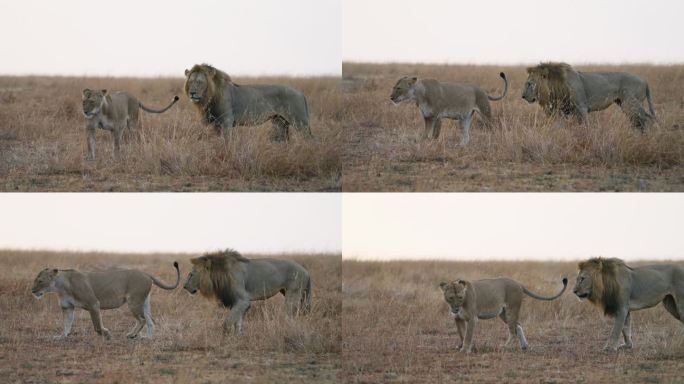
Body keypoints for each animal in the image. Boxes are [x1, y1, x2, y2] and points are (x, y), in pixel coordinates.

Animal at [30, 260, 180, 340]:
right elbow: (67, 324)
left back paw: (132, 335)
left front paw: (107, 334)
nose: (32, 291)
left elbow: (97, 326)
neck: (60, 287)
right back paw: (147, 338)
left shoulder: (93, 304)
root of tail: (146, 273)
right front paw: (62, 336)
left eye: (40, 281)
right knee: (150, 321)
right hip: (144, 303)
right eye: (35, 280)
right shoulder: (67, 308)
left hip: (134, 302)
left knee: (142, 320)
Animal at [182, 63, 310, 142]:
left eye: (200, 82)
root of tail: (301, 93)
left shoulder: (226, 121)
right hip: (280, 122)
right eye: (190, 81)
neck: (209, 98)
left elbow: (226, 141)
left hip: (300, 122)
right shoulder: (216, 124)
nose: (192, 93)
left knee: (310, 139)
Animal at [182, 250, 310, 334]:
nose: (184, 286)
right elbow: (238, 322)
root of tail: (305, 271)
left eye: (191, 274)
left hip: (293, 294)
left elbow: (228, 321)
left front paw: (225, 335)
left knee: (291, 315)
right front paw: (238, 337)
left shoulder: (243, 300)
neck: (219, 274)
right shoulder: (237, 301)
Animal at [438, 276, 568, 354]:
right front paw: (462, 346)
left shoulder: (472, 319)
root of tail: (518, 283)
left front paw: (465, 349)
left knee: (513, 332)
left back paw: (505, 347)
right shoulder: (458, 319)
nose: (455, 308)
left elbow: (468, 335)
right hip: (503, 313)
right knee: (518, 325)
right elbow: (462, 334)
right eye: (451, 298)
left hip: (511, 310)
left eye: (460, 297)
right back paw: (524, 346)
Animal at [524, 61, 656, 130]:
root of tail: (645, 81)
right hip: (624, 104)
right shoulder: (562, 110)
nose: (523, 96)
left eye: (529, 83)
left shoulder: (581, 107)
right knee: (641, 119)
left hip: (631, 103)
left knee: (645, 119)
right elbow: (560, 126)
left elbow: (584, 125)